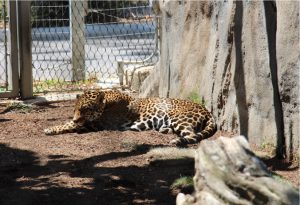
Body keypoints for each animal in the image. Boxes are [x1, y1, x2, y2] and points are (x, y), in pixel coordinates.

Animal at [44, 89, 217, 146]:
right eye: (75, 109)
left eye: (85, 110)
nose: (75, 118)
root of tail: (207, 110)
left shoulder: (98, 124)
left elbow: (69, 125)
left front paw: (50, 129)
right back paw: (166, 131)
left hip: (180, 119)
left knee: (193, 136)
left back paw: (177, 141)